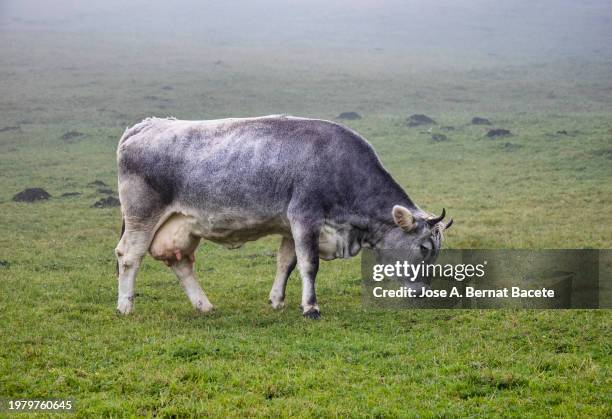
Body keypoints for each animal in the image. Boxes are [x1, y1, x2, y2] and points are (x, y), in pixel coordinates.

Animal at [115, 115, 452, 318]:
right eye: (424, 247)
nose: (424, 293)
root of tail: (145, 125)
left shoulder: (291, 226)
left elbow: (286, 263)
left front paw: (277, 299)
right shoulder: (305, 217)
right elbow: (309, 264)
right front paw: (311, 307)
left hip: (181, 227)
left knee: (181, 263)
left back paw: (204, 304)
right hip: (142, 216)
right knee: (129, 256)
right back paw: (125, 306)